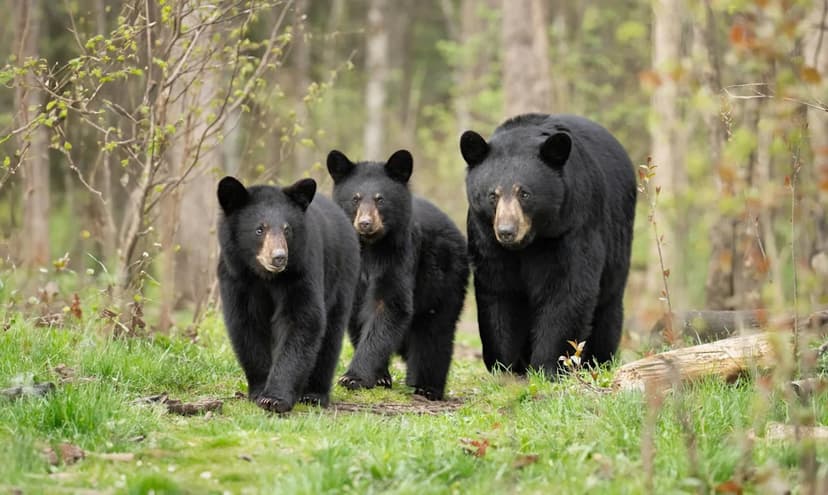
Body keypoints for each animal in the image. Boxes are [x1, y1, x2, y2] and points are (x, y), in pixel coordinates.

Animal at [216, 176, 360, 413]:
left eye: (287, 230)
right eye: (259, 229)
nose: (279, 257)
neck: (266, 277)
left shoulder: (301, 271)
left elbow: (302, 320)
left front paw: (274, 398)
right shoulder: (236, 276)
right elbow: (246, 325)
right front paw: (259, 391)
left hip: (342, 274)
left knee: (331, 335)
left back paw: (314, 394)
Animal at [326, 149, 469, 400]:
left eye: (380, 199)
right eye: (355, 198)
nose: (365, 223)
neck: (370, 247)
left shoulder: (399, 255)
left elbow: (389, 305)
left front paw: (353, 377)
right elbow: (357, 315)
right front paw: (380, 377)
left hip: (446, 278)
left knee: (435, 332)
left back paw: (427, 387)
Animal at [459, 113, 636, 377]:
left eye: (525, 193)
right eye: (492, 195)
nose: (506, 231)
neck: (530, 240)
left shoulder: (572, 226)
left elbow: (567, 289)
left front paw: (548, 367)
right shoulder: (486, 238)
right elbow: (500, 291)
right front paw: (505, 366)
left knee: (608, 305)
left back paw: (599, 359)